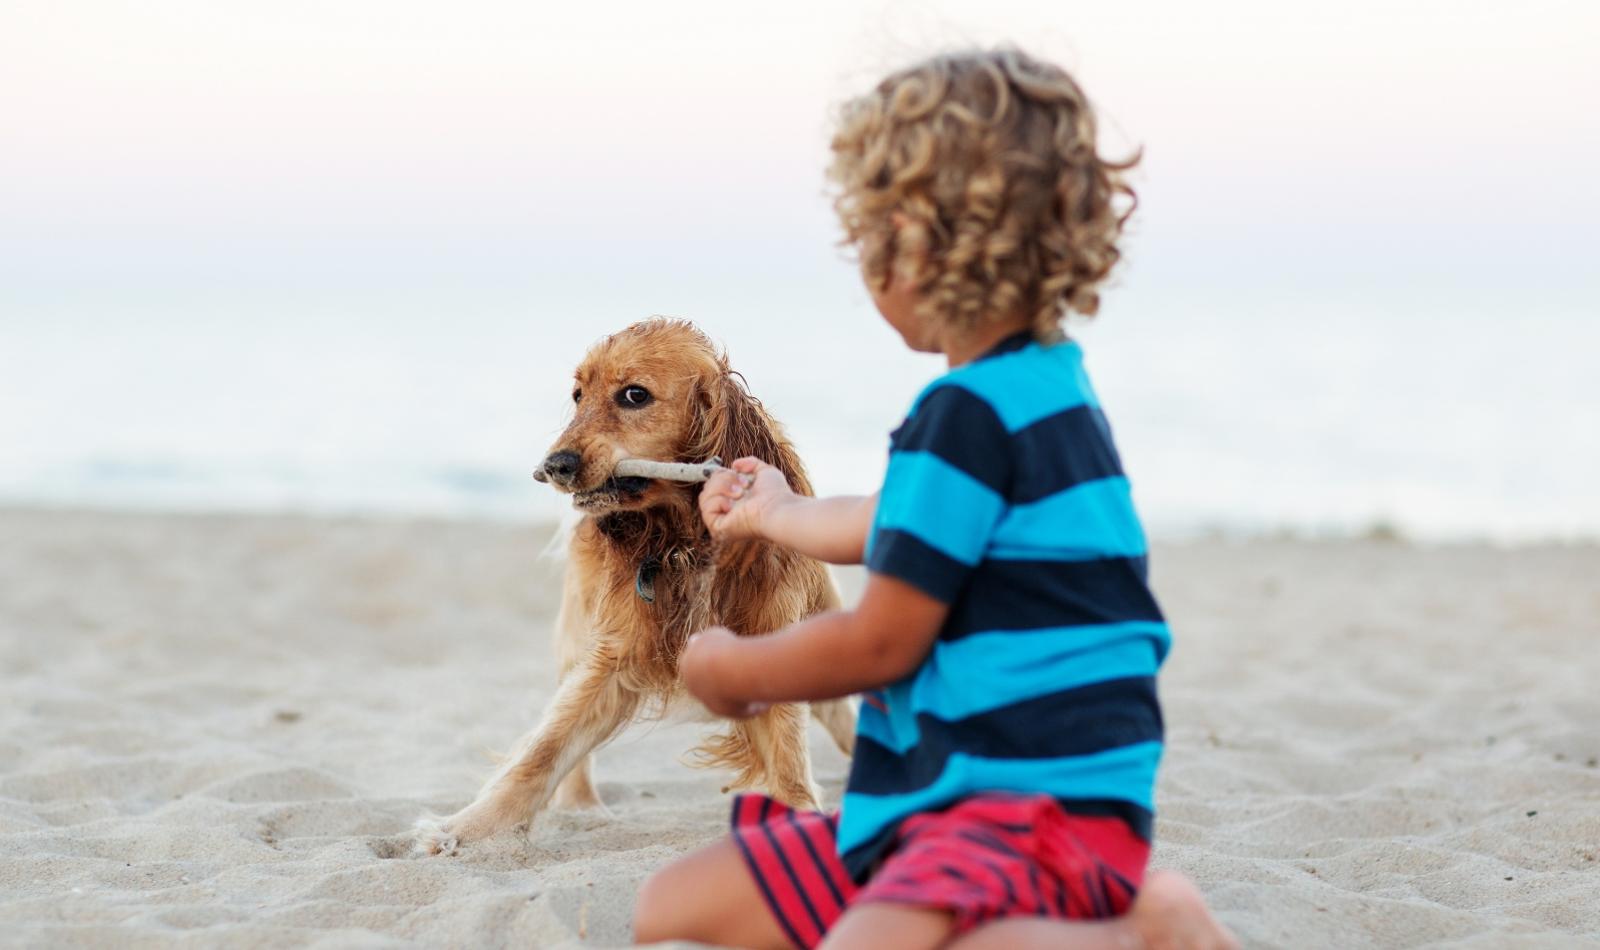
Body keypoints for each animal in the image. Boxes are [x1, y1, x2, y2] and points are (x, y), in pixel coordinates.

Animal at [419, 316, 857, 850]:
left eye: (634, 395)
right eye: (577, 395)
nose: (552, 467)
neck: (685, 544)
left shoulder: (769, 635)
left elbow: (789, 758)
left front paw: (802, 815)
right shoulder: (614, 655)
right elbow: (545, 750)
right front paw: (463, 827)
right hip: (577, 634)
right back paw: (583, 808)